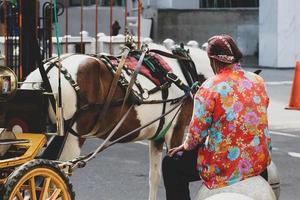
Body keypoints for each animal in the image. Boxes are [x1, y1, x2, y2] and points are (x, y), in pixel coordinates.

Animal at [21, 43, 213, 199]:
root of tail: (46, 73)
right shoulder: (176, 130)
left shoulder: (158, 136)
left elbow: (154, 177)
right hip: (70, 140)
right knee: (53, 181)